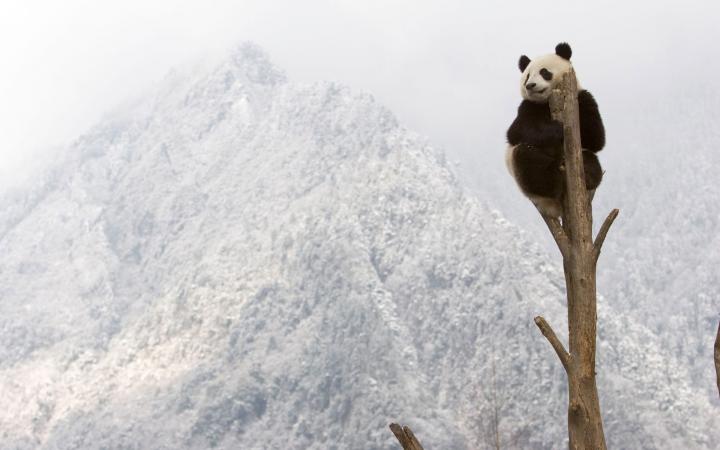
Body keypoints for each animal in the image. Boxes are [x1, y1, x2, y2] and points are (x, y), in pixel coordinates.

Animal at [506, 43, 608, 217]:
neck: (547, 101)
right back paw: (553, 180)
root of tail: (554, 208)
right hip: (523, 177)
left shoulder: (582, 97)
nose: (530, 85)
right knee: (527, 160)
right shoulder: (528, 107)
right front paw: (557, 130)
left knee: (590, 159)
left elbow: (596, 138)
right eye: (527, 76)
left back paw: (587, 174)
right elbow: (517, 132)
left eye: (544, 72)